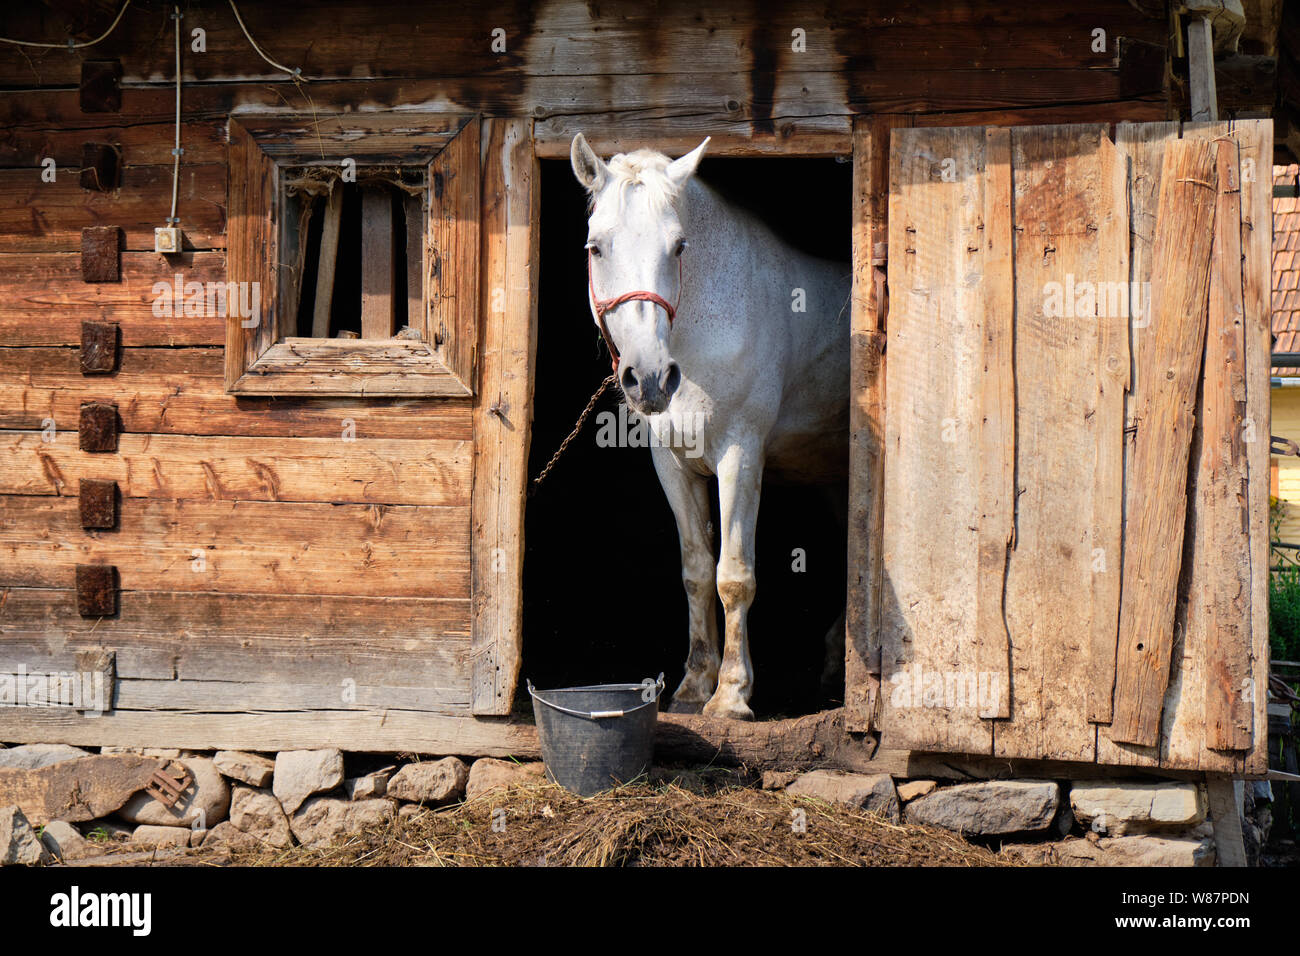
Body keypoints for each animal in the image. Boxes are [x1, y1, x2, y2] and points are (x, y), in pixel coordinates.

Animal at [570, 133, 851, 720]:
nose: (650, 379)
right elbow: (697, 570)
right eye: (596, 248)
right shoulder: (672, 463)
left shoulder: (740, 455)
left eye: (679, 246)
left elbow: (733, 575)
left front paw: (731, 696)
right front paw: (694, 686)